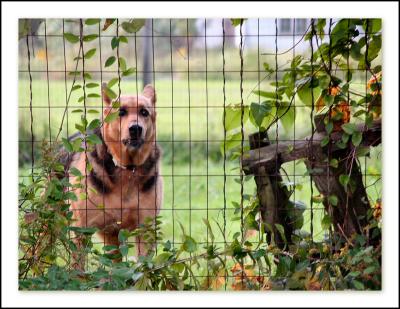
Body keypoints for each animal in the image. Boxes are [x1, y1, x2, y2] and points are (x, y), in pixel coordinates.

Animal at [63, 83, 162, 268]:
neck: (127, 168)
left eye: (144, 112)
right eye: (121, 112)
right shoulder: (81, 231)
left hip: (112, 239)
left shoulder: (145, 230)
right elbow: (78, 269)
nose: (135, 129)